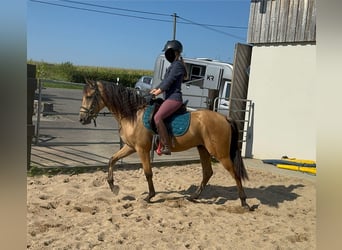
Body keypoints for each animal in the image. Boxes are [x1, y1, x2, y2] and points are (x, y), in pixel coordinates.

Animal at [79, 79, 251, 209]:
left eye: (90, 96)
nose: (82, 119)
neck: (134, 115)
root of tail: (225, 118)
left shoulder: (141, 149)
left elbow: (148, 172)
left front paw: (150, 196)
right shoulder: (130, 147)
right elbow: (112, 160)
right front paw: (113, 186)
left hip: (220, 153)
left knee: (235, 174)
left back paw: (244, 202)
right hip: (203, 149)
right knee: (207, 172)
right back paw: (194, 197)